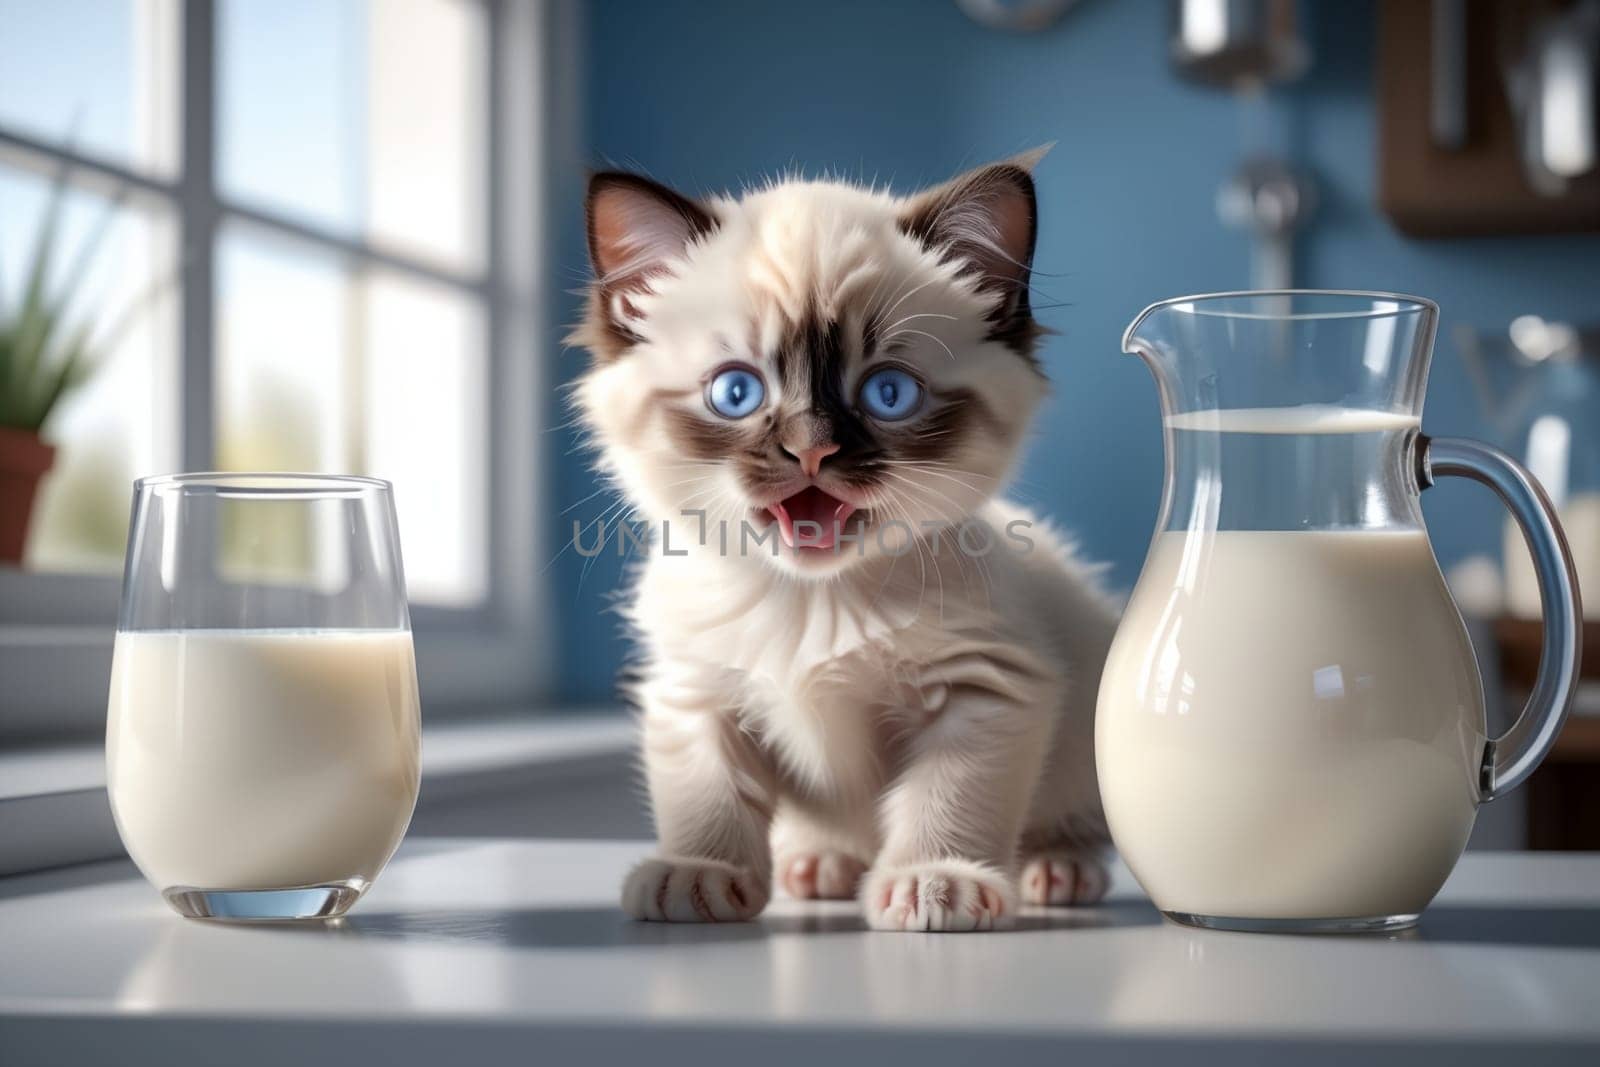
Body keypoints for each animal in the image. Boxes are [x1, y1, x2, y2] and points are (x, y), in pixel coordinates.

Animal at [572, 154, 1113, 927]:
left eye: (888, 394)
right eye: (736, 393)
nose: (811, 450)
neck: (810, 600)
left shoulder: (988, 686)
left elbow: (947, 799)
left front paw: (932, 880)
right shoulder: (696, 691)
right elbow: (706, 794)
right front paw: (701, 874)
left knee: (1072, 819)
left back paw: (1057, 867)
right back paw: (820, 863)